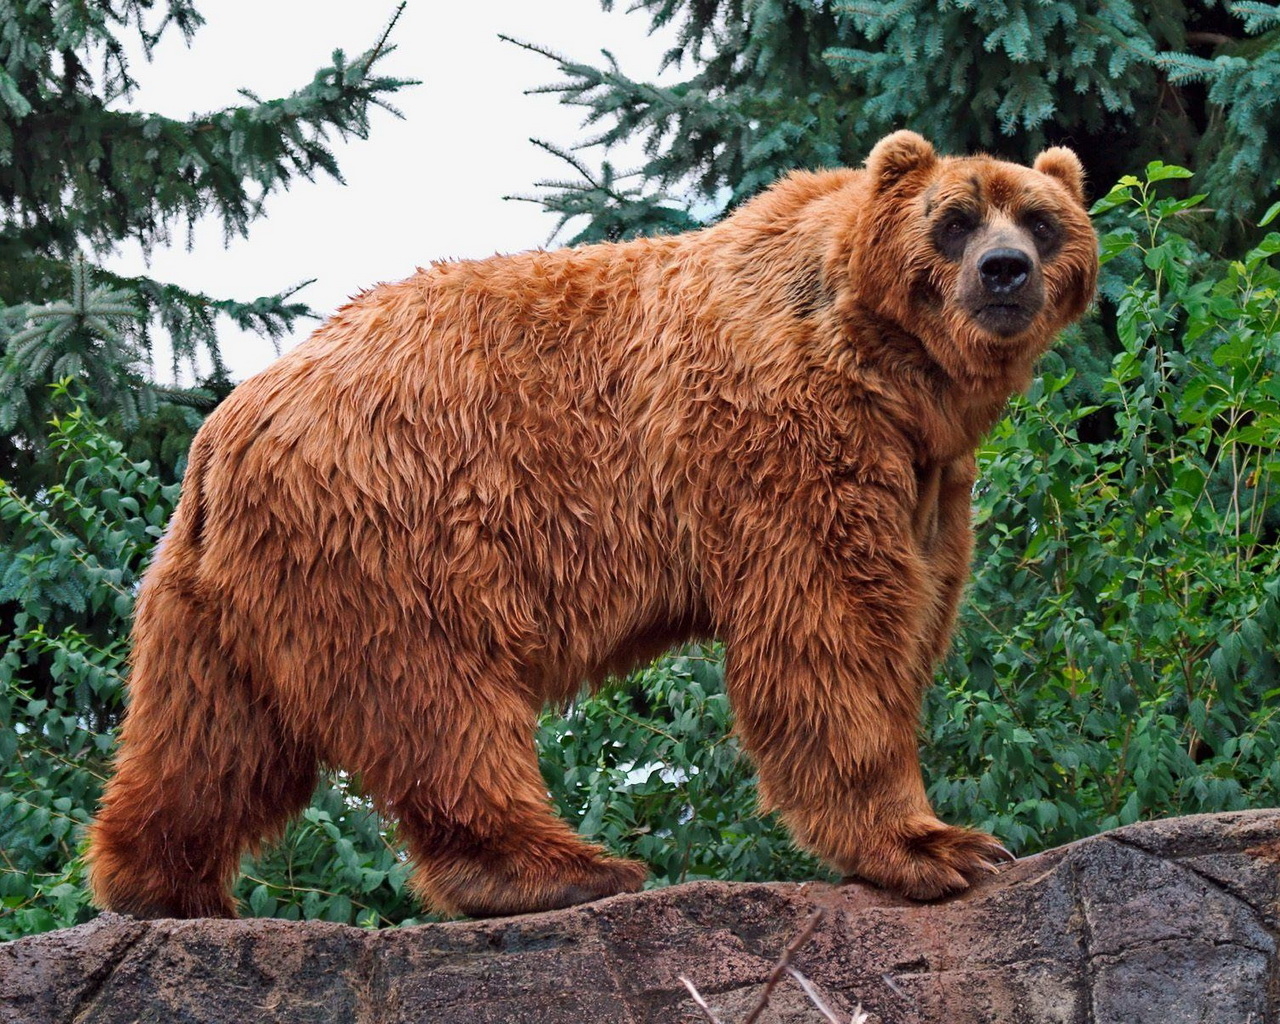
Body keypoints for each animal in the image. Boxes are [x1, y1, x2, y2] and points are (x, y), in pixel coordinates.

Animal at [86, 131, 1098, 919]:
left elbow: (914, 606)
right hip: (396, 520)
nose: (1005, 271)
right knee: (439, 698)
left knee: (213, 734)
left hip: (225, 591)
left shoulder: (927, 474)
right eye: (954, 219)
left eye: (1042, 219)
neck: (890, 370)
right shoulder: (786, 434)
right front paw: (940, 845)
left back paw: (162, 885)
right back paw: (564, 869)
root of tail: (226, 429)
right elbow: (831, 629)